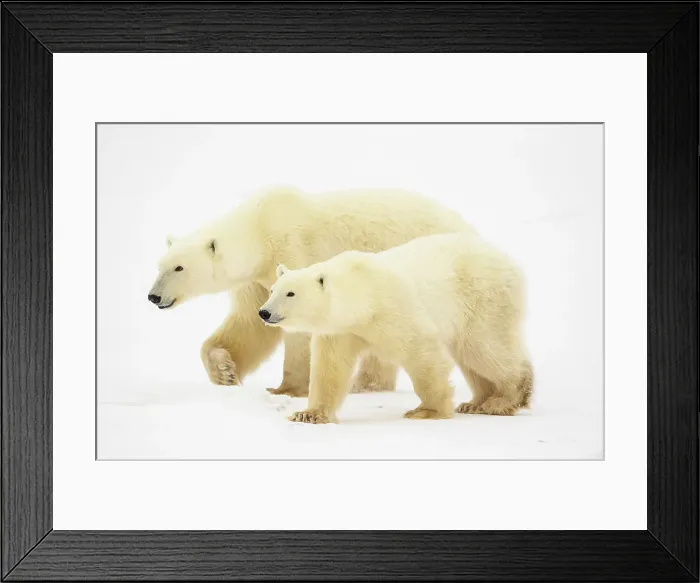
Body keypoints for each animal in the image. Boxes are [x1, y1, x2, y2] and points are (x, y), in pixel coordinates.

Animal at [147, 186, 474, 397]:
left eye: (179, 268)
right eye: (159, 266)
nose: (153, 296)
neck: (260, 229)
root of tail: (468, 226)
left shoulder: (293, 248)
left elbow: (300, 323)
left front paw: (287, 389)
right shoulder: (256, 280)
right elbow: (250, 324)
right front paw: (225, 371)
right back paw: (366, 385)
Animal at [258, 231, 533, 424]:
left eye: (291, 293)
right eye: (272, 289)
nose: (264, 312)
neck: (363, 296)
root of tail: (509, 262)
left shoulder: (393, 310)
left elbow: (422, 353)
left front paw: (427, 410)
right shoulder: (340, 330)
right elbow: (330, 370)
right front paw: (309, 414)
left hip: (483, 299)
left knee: (484, 347)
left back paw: (504, 400)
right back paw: (475, 403)